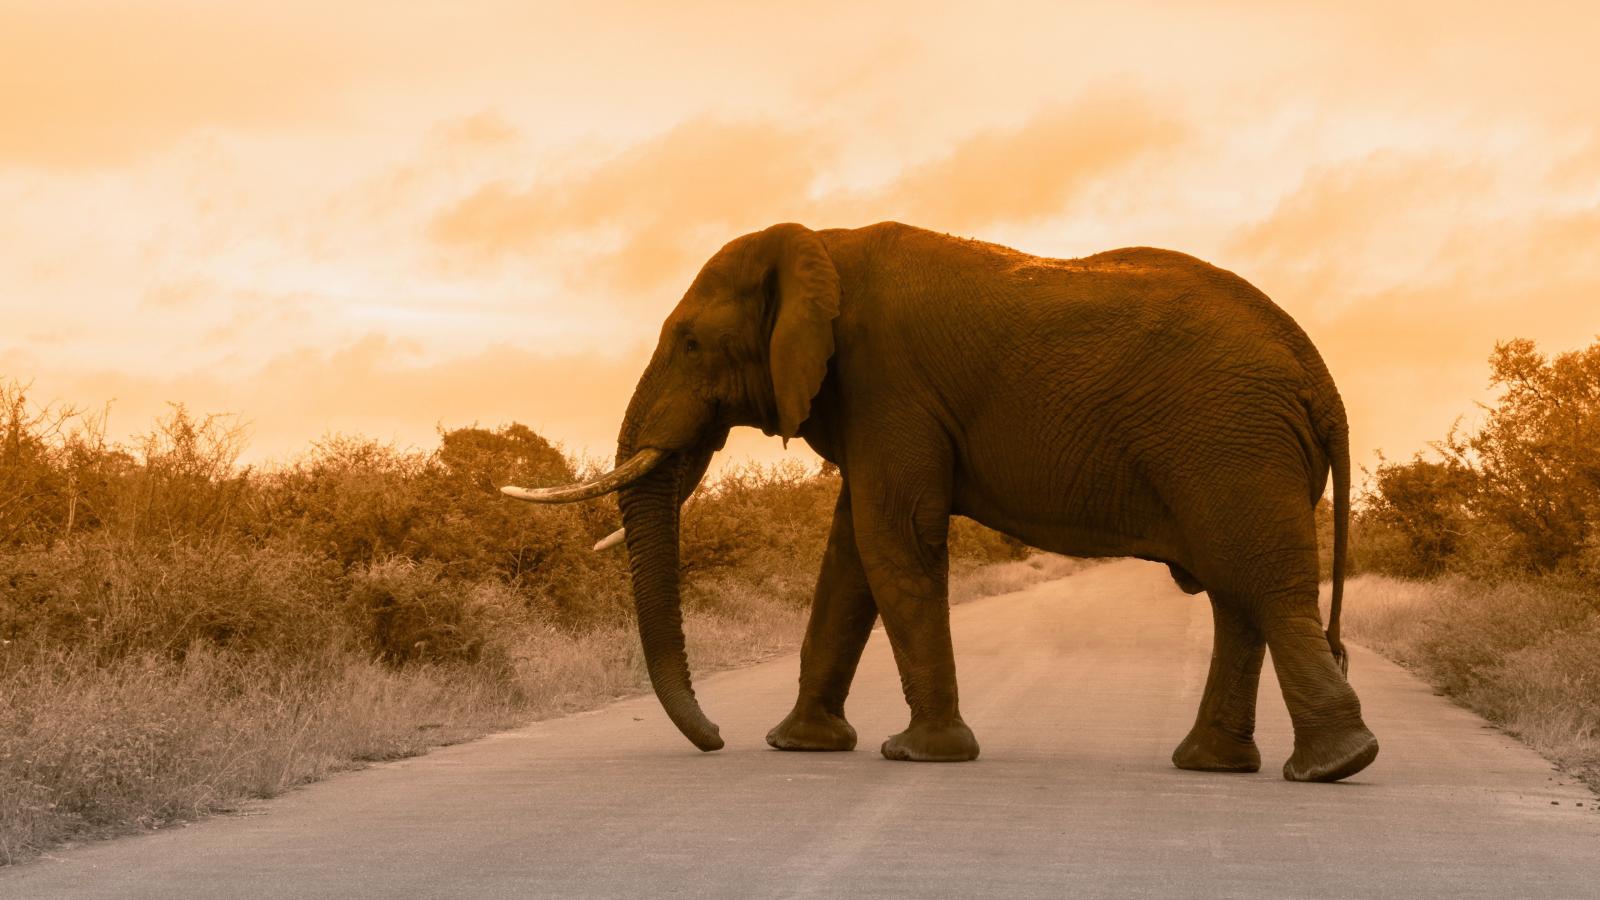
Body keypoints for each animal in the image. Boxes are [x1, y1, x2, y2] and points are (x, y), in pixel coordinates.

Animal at [505, 221, 1379, 783]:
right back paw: (1218, 766)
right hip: (1239, 447)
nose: (716, 738)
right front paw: (800, 746)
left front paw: (917, 754)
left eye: (690, 343)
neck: (820, 243)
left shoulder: (886, 380)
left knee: (1260, 587)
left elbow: (893, 538)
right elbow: (850, 558)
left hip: (1231, 443)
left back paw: (1334, 767)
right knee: (1240, 598)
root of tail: (1321, 376)